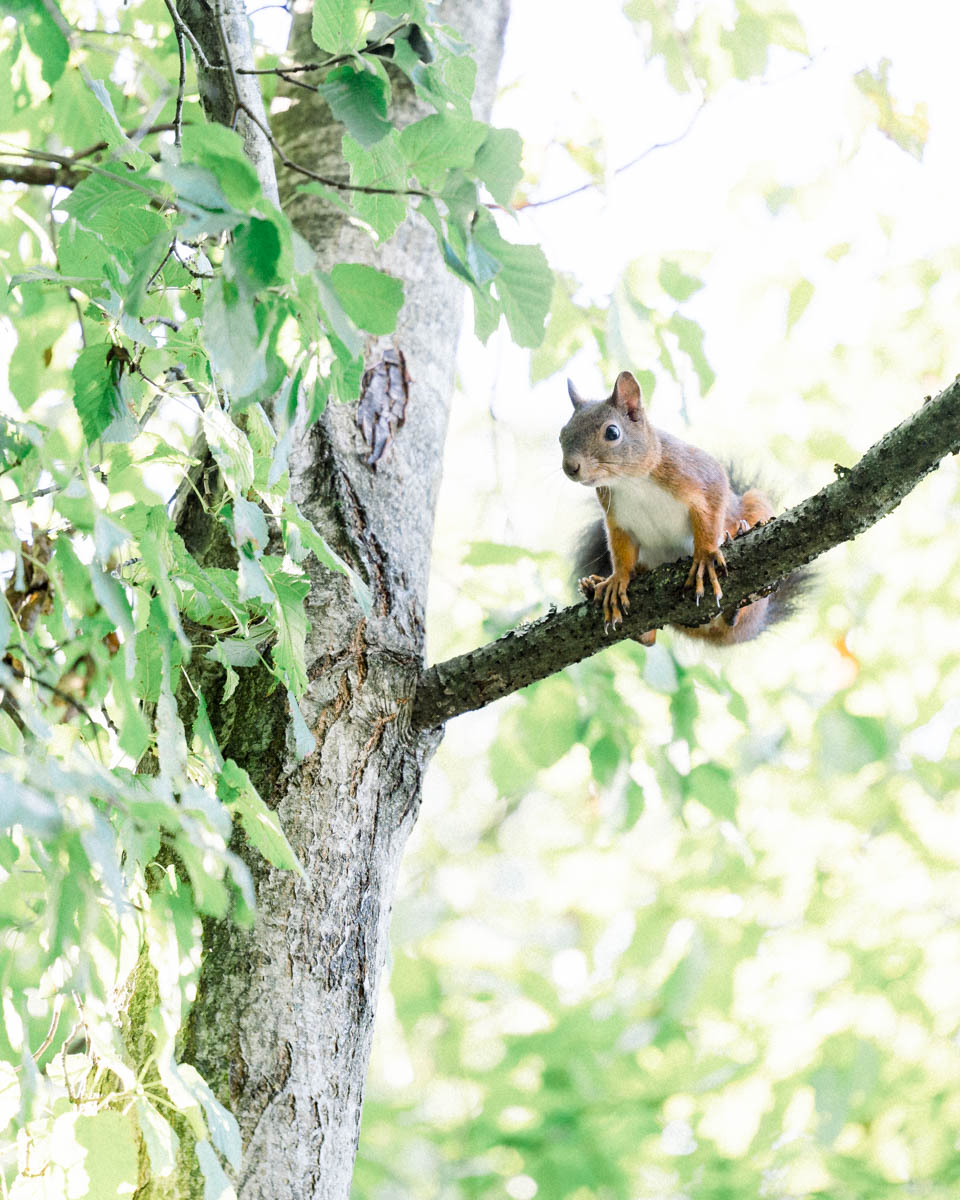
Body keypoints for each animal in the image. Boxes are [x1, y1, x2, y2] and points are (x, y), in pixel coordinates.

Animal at [559, 369, 796, 648]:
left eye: (612, 433)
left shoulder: (696, 472)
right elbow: (621, 553)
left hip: (755, 510)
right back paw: (594, 586)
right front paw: (617, 579)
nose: (570, 467)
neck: (630, 481)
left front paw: (705, 555)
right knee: (649, 639)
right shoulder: (617, 519)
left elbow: (711, 507)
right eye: (562, 434)